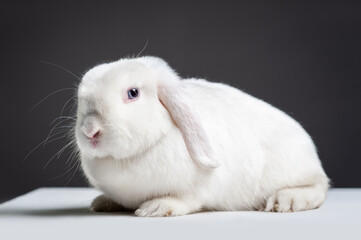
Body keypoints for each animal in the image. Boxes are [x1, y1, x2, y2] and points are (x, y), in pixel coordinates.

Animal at [76, 55, 330, 217]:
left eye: (133, 93)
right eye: (81, 100)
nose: (90, 129)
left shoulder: (199, 189)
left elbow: (187, 200)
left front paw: (155, 208)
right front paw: (102, 203)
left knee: (319, 188)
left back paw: (285, 201)